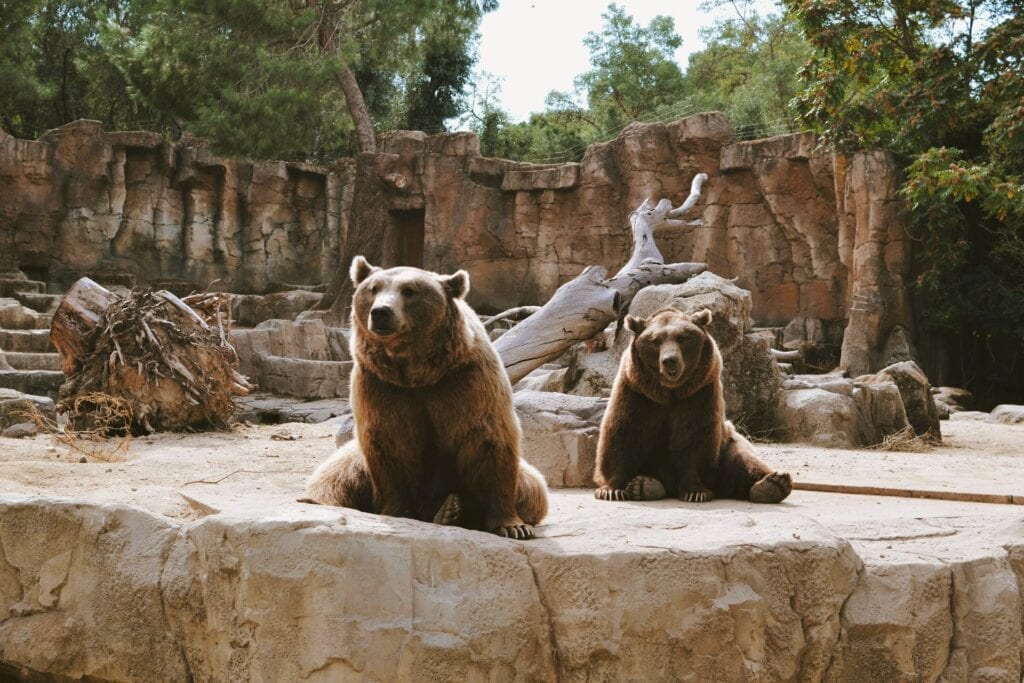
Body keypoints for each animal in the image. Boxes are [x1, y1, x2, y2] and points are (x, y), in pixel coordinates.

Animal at [303, 256, 549, 539]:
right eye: (373, 288)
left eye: (409, 291)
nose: (381, 312)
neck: (418, 372)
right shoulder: (381, 385)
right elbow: (390, 442)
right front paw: (397, 511)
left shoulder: (467, 379)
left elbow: (489, 439)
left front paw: (513, 526)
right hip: (351, 465)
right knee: (331, 481)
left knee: (534, 488)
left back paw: (451, 510)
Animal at [593, 307, 792, 504]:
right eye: (655, 341)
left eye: (682, 337)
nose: (670, 360)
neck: (669, 392)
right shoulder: (638, 393)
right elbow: (624, 434)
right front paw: (611, 490)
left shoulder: (698, 394)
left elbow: (694, 438)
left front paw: (696, 492)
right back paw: (643, 485)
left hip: (727, 444)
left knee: (741, 460)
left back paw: (773, 484)